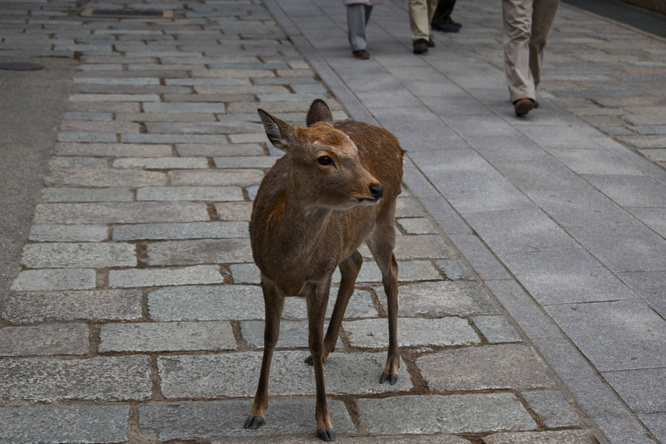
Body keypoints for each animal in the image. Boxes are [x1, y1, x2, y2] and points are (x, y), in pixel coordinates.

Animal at [241, 98, 402, 440]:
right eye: (324, 158)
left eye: (355, 151)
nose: (376, 187)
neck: (291, 264)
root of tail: (390, 137)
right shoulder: (267, 277)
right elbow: (269, 337)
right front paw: (256, 412)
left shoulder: (319, 280)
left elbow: (311, 342)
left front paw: (325, 423)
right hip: (350, 240)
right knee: (355, 264)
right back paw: (331, 348)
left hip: (385, 219)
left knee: (391, 273)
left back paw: (391, 366)